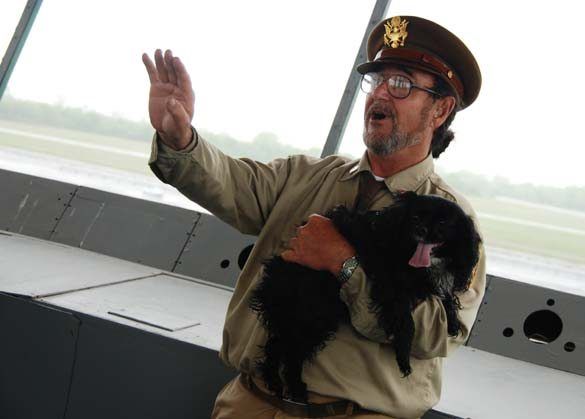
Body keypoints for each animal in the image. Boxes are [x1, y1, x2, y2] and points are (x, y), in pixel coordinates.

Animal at [249, 193, 482, 404]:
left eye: (443, 222)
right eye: (415, 218)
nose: (421, 230)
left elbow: (445, 295)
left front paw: (452, 320)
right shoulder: (390, 284)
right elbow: (406, 321)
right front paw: (403, 357)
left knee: (278, 346)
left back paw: (277, 383)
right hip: (314, 315)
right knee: (290, 352)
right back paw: (295, 389)